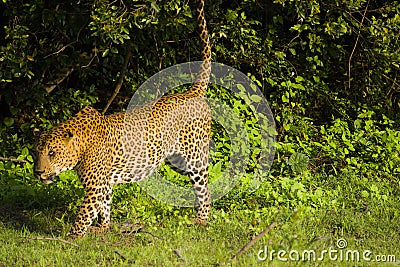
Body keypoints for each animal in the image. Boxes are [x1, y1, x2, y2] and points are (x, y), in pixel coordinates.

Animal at [33, 0, 212, 239]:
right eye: (37, 153)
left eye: (52, 153)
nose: (38, 172)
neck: (80, 146)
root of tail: (192, 92)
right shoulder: (104, 183)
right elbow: (104, 205)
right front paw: (104, 227)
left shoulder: (95, 186)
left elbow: (84, 214)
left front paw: (71, 238)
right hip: (176, 160)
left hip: (194, 157)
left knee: (204, 185)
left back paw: (202, 219)